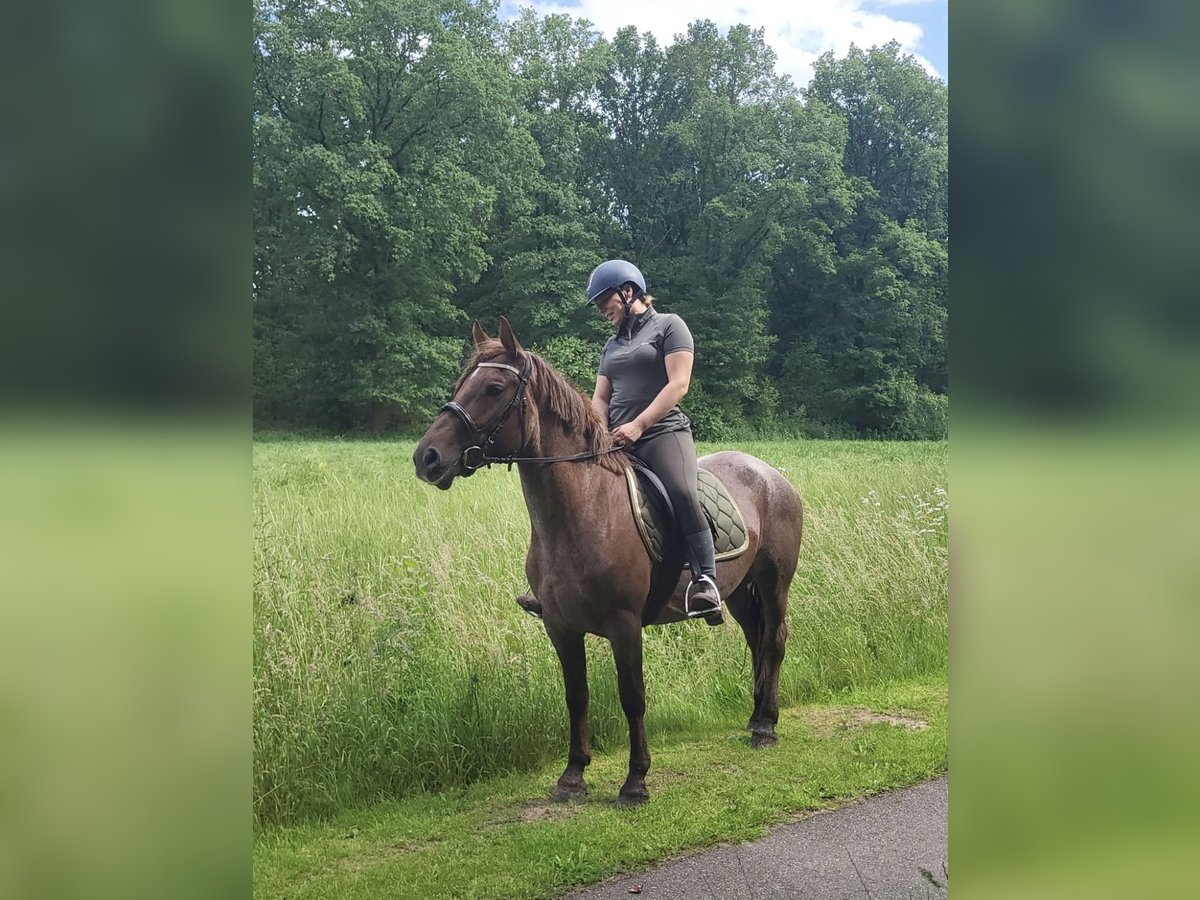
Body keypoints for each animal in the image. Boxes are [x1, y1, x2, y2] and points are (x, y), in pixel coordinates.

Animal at [415, 319, 806, 811]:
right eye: (460, 385)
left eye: (493, 388)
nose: (427, 457)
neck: (583, 510)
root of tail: (771, 474)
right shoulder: (560, 626)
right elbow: (576, 696)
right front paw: (572, 775)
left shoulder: (625, 623)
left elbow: (631, 696)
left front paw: (635, 781)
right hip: (737, 593)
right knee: (756, 641)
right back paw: (755, 719)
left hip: (774, 583)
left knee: (773, 641)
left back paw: (767, 726)